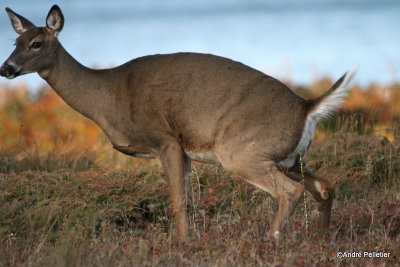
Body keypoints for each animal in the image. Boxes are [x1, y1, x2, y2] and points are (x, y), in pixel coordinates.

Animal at [0, 4, 356, 243]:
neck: (107, 97)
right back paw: (320, 240)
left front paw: (184, 244)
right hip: (288, 157)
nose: (6, 68)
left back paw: (270, 240)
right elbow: (185, 199)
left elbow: (178, 200)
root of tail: (306, 107)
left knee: (291, 191)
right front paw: (190, 240)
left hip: (241, 149)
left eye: (36, 43)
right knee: (326, 186)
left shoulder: (166, 139)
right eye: (14, 43)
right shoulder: (184, 151)